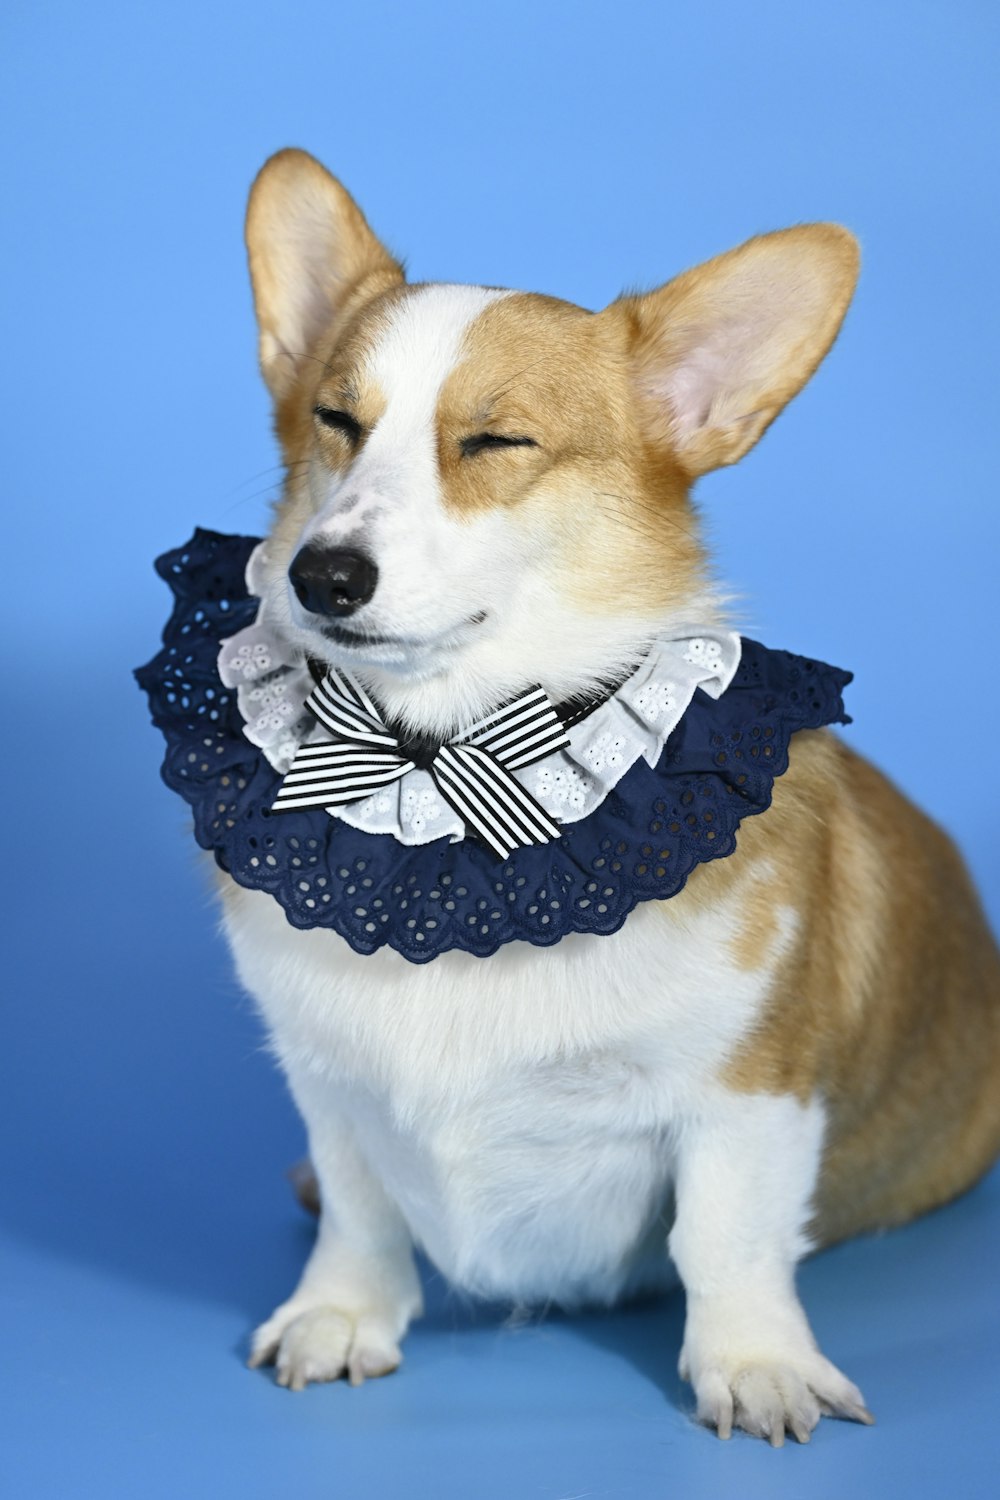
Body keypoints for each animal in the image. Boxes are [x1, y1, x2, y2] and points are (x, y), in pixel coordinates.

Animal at [217, 149, 1000, 1440]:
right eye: (336, 421)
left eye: (495, 441)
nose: (320, 574)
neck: (447, 769)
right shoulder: (329, 1084)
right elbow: (361, 1206)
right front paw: (338, 1314)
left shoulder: (749, 1095)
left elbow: (725, 1236)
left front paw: (755, 1364)